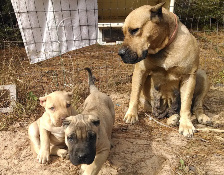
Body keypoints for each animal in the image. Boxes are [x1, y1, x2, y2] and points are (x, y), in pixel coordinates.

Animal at [118, 2, 211, 137]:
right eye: (124, 33)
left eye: (135, 30)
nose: (120, 53)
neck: (165, 48)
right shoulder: (140, 72)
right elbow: (134, 95)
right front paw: (131, 114)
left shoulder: (189, 77)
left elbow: (186, 104)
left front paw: (186, 124)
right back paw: (172, 119)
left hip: (202, 76)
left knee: (196, 105)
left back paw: (201, 117)